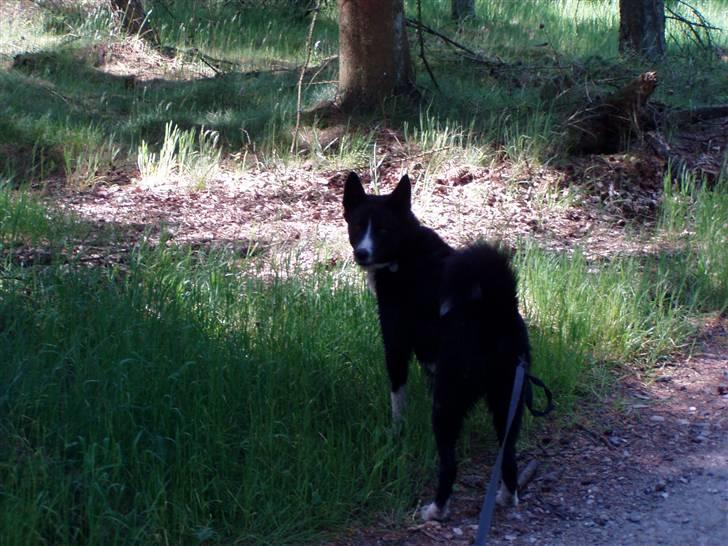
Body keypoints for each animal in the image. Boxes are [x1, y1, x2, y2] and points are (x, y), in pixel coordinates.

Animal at [342, 170, 536, 520]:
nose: (361, 253)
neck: (405, 253)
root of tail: (495, 311)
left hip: (448, 403)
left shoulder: (396, 346)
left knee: (450, 463)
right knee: (508, 453)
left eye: (383, 229)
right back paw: (506, 496)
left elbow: (397, 397)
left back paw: (436, 509)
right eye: (358, 226)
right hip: (507, 399)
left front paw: (396, 432)